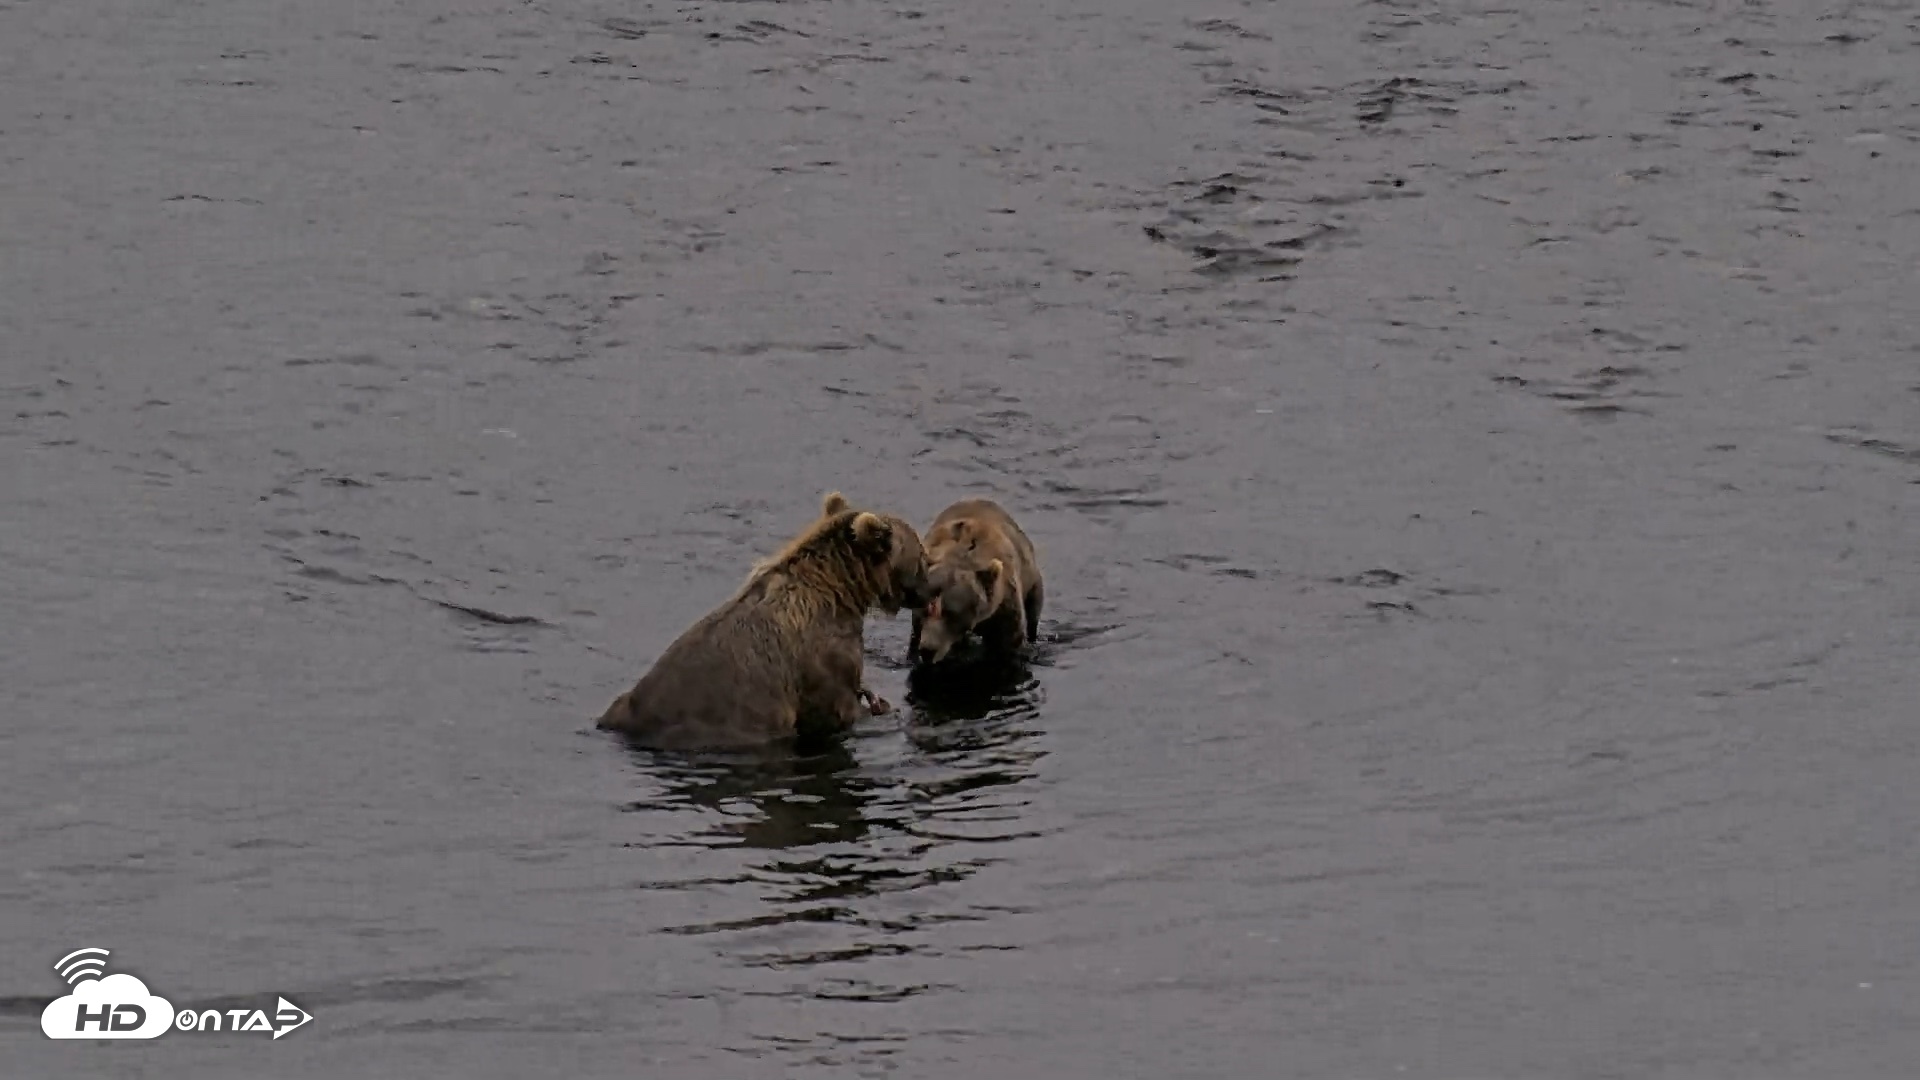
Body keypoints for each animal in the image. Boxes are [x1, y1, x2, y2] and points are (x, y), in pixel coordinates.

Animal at [597, 492, 929, 751]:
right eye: (922, 556)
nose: (930, 590)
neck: (839, 593)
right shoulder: (822, 663)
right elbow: (837, 708)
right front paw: (878, 708)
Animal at [909, 498, 1044, 667]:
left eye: (951, 612)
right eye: (925, 609)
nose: (927, 650)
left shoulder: (1004, 604)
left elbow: (1009, 641)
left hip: (1031, 577)